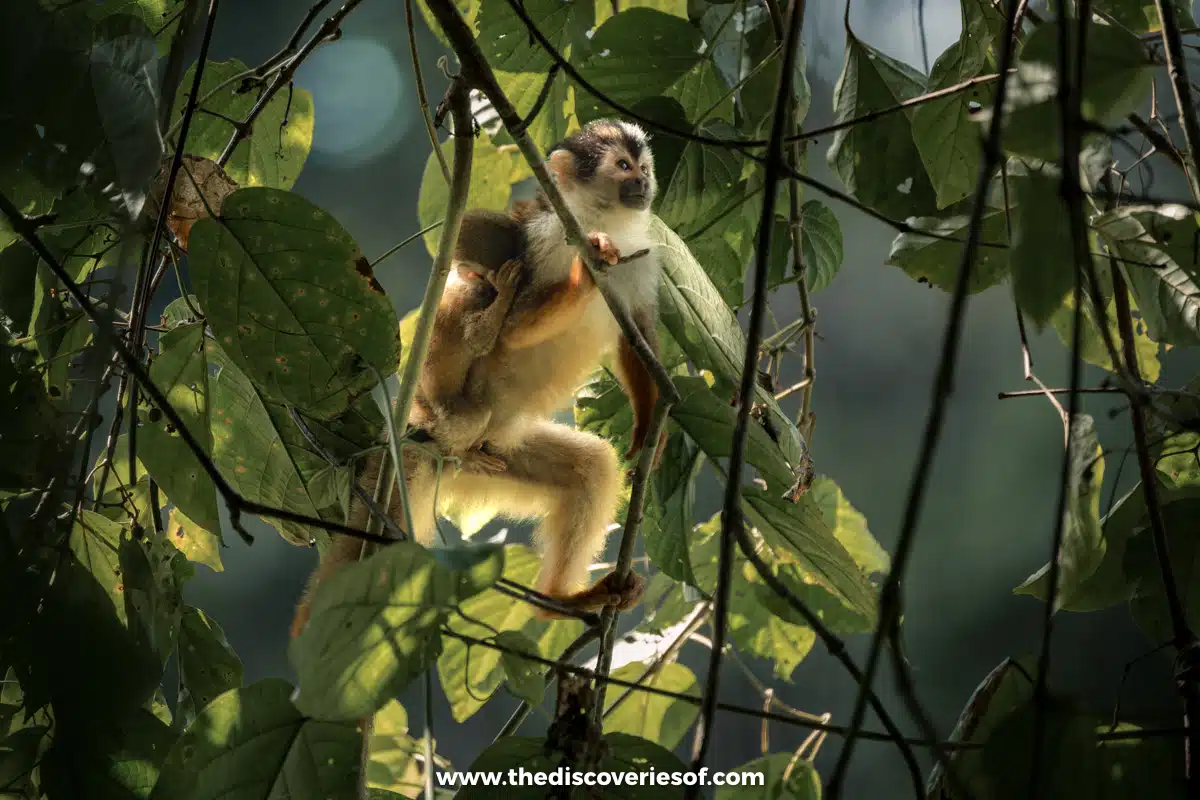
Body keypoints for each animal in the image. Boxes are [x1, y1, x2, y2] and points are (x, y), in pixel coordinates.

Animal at [292, 119, 667, 641]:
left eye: (642, 166)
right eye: (623, 166)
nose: (643, 182)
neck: (604, 219)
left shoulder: (642, 255)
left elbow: (638, 336)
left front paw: (653, 426)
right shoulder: (547, 235)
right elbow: (514, 328)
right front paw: (585, 271)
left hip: (498, 454)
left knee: (590, 468)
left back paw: (559, 601)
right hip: (427, 440)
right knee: (472, 291)